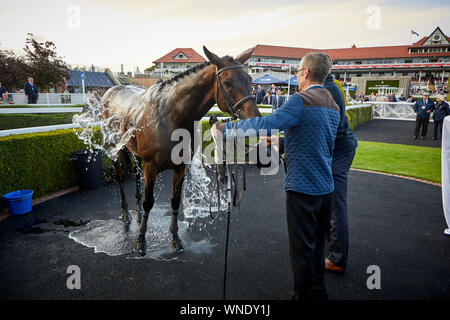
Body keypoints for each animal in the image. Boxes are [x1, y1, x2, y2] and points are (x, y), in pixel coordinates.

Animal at [98, 47, 260, 255]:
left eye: (250, 79)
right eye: (227, 82)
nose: (255, 117)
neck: (170, 117)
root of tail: (110, 91)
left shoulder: (181, 167)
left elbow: (175, 201)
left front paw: (176, 240)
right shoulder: (151, 168)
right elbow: (149, 203)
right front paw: (141, 242)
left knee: (135, 175)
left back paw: (136, 211)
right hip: (114, 149)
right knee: (119, 177)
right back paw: (126, 214)